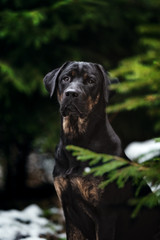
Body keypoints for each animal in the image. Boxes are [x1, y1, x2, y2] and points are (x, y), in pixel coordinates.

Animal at [43, 62, 159, 240]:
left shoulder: (105, 214)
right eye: (66, 78)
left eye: (91, 81)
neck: (77, 141)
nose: (71, 93)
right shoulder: (69, 212)